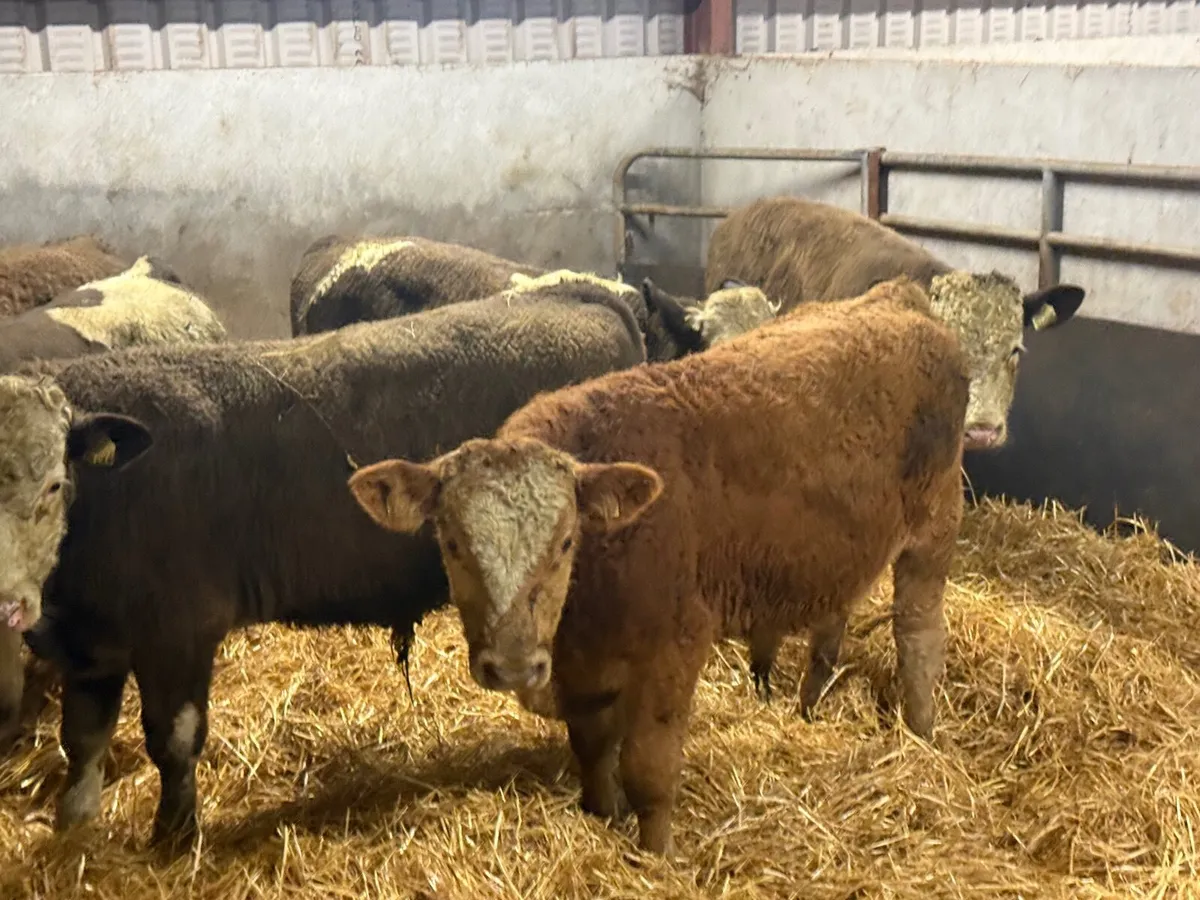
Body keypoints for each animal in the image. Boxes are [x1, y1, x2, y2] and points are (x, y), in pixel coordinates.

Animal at [2, 281, 656, 850]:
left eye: (54, 484)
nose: (10, 603)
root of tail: (576, 292)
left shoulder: (178, 632)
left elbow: (174, 741)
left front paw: (174, 838)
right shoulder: (91, 648)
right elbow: (83, 739)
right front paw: (73, 830)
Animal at [345, 277, 971, 856]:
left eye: (566, 542)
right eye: (452, 542)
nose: (515, 666)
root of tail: (897, 296)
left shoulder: (676, 646)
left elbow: (648, 766)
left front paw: (657, 853)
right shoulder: (584, 672)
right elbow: (592, 748)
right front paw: (601, 814)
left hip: (935, 528)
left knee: (919, 634)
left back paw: (920, 731)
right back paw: (811, 706)